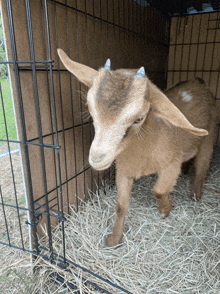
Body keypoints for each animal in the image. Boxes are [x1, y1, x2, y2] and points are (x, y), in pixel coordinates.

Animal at [57, 49, 217, 247]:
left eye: (139, 118)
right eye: (90, 109)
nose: (97, 158)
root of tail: (197, 81)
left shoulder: (171, 165)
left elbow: (159, 190)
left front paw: (166, 210)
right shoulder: (124, 170)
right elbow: (121, 205)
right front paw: (114, 238)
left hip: (210, 135)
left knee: (202, 164)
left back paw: (195, 194)